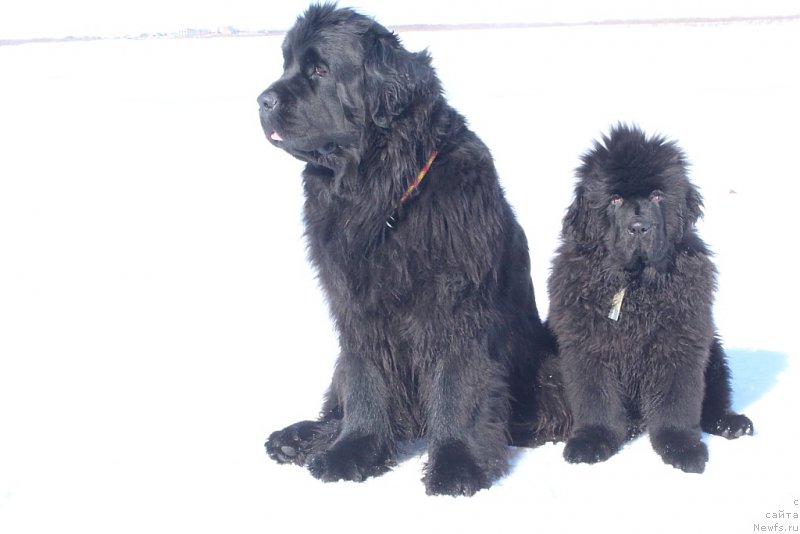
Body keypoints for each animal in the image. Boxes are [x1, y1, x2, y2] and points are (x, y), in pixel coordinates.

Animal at [256, 4, 556, 498]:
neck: (381, 199)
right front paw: (351, 452)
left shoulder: (456, 305)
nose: (262, 100)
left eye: (319, 70)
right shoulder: (355, 308)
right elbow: (365, 381)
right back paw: (297, 439)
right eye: (287, 64)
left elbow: (458, 385)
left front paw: (457, 465)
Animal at [548, 124, 752, 474]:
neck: (636, 285)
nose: (639, 227)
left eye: (657, 195)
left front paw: (681, 448)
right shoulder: (587, 346)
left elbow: (676, 401)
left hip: (713, 351)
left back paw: (731, 423)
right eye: (615, 199)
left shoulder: (680, 343)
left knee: (716, 396)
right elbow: (596, 398)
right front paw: (591, 441)